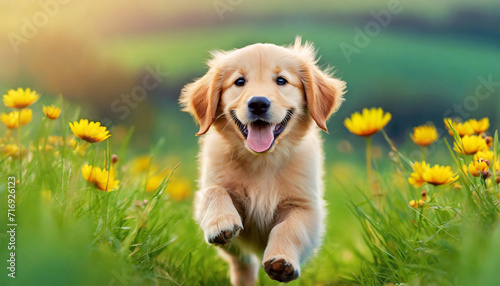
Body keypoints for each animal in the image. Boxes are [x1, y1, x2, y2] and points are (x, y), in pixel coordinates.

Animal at [181, 37, 348, 284]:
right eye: (239, 81)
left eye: (281, 80)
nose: (258, 103)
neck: (263, 161)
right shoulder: (213, 184)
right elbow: (214, 191)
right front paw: (221, 222)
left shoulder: (306, 206)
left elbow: (290, 227)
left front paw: (283, 261)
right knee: (242, 261)